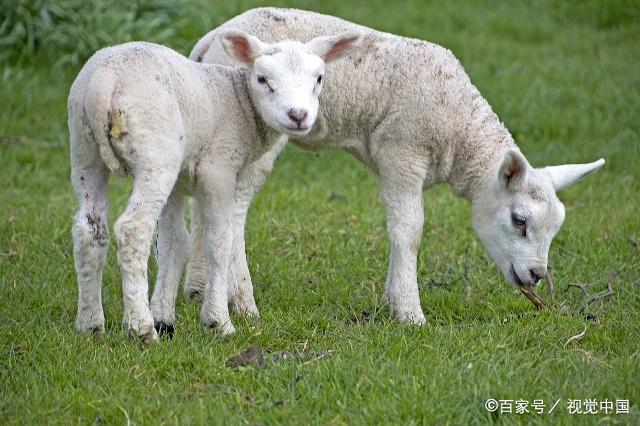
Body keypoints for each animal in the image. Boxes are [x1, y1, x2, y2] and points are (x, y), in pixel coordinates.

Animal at [69, 30, 364, 342]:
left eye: (319, 78)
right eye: (262, 79)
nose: (298, 115)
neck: (239, 101)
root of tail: (104, 83)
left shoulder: (178, 183)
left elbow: (174, 243)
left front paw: (164, 317)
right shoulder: (217, 169)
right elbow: (220, 242)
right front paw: (217, 320)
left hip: (85, 148)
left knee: (90, 230)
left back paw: (90, 324)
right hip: (155, 152)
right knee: (133, 229)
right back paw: (142, 328)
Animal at [174, 7, 604, 326]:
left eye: (556, 226)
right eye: (519, 220)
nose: (536, 276)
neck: (460, 129)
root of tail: (211, 38)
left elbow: (397, 229)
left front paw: (391, 297)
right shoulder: (403, 152)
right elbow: (409, 231)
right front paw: (410, 313)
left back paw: (197, 287)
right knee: (235, 209)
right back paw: (241, 302)